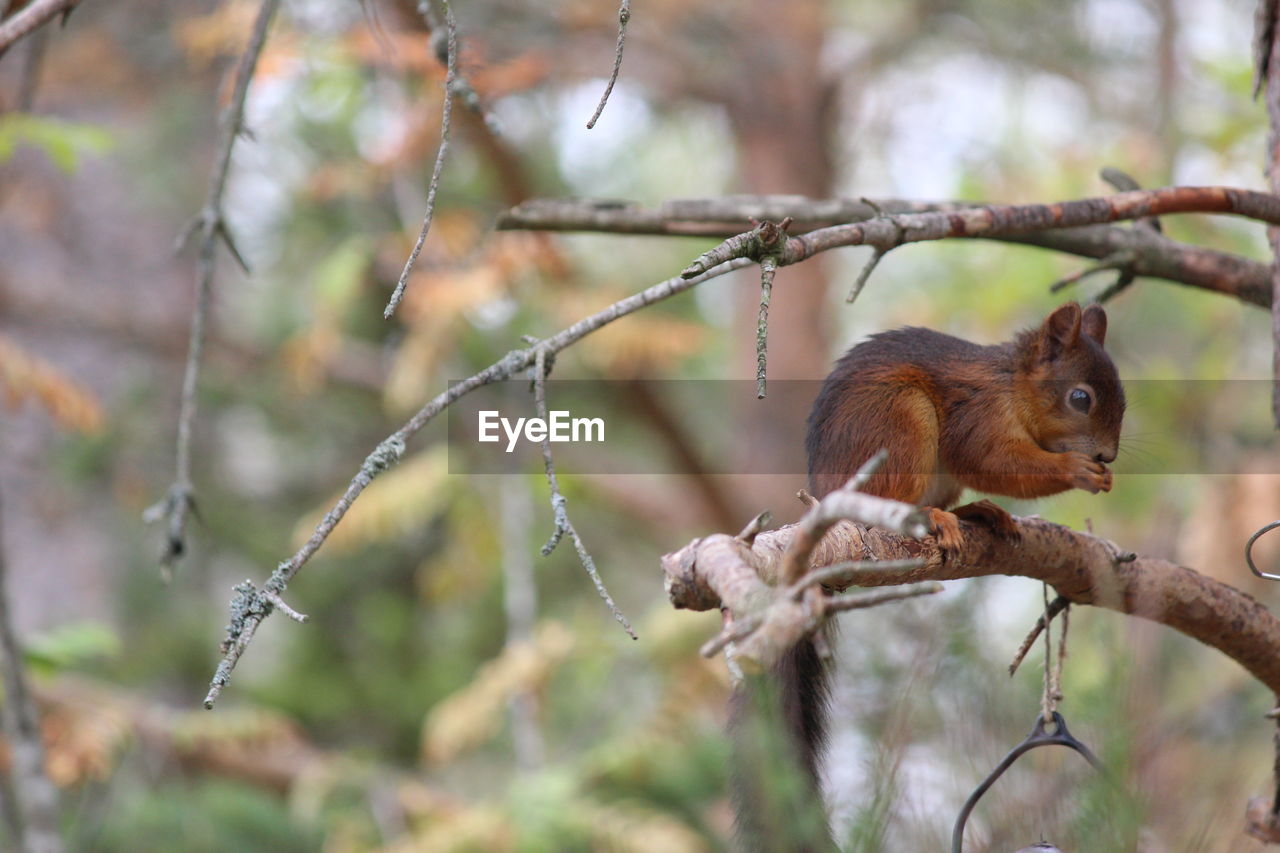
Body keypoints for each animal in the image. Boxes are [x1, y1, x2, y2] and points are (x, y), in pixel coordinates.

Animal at [737, 302, 1126, 845]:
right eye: (1080, 397)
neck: (1011, 386)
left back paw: (978, 512)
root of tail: (823, 496)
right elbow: (991, 460)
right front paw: (1076, 469)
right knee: (890, 499)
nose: (1107, 456)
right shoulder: (977, 416)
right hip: (899, 422)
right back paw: (930, 518)